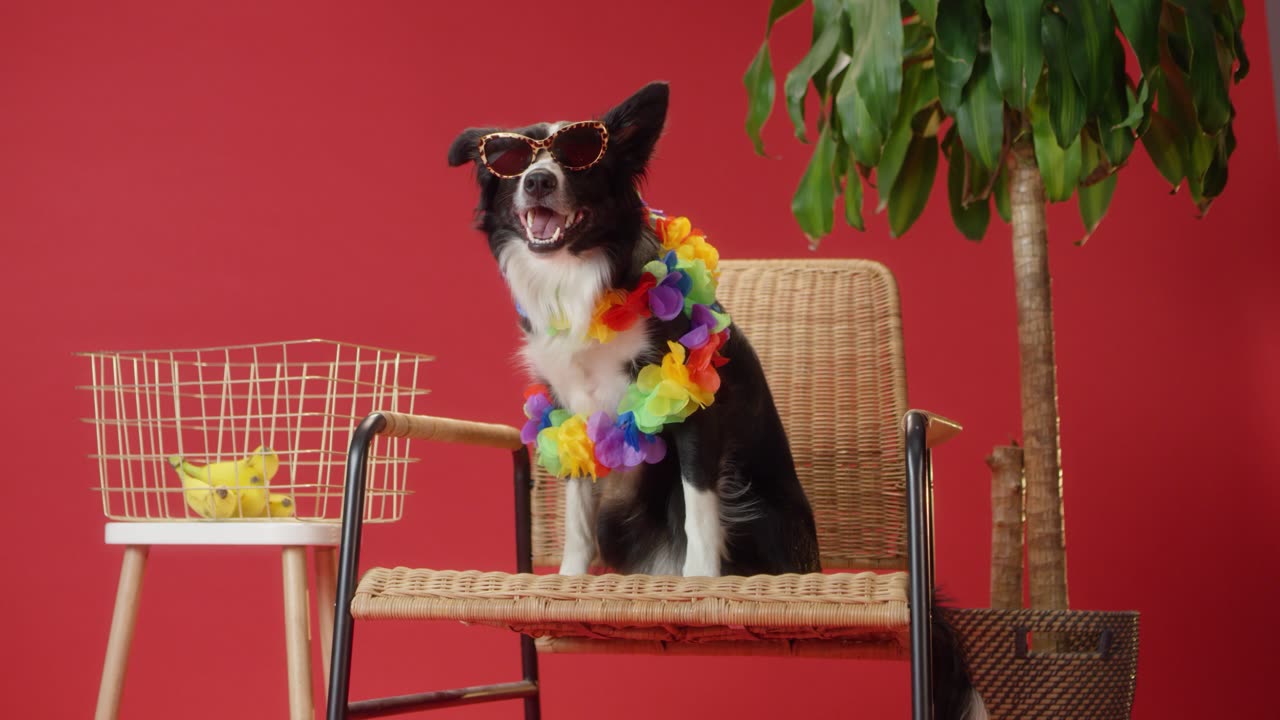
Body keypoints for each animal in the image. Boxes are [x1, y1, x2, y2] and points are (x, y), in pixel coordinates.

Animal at [450, 82, 988, 717]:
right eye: (510, 159)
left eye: (579, 156)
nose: (536, 181)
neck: (581, 274)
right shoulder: (568, 413)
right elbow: (577, 516)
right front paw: (570, 580)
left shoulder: (692, 407)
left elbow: (700, 506)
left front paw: (701, 584)